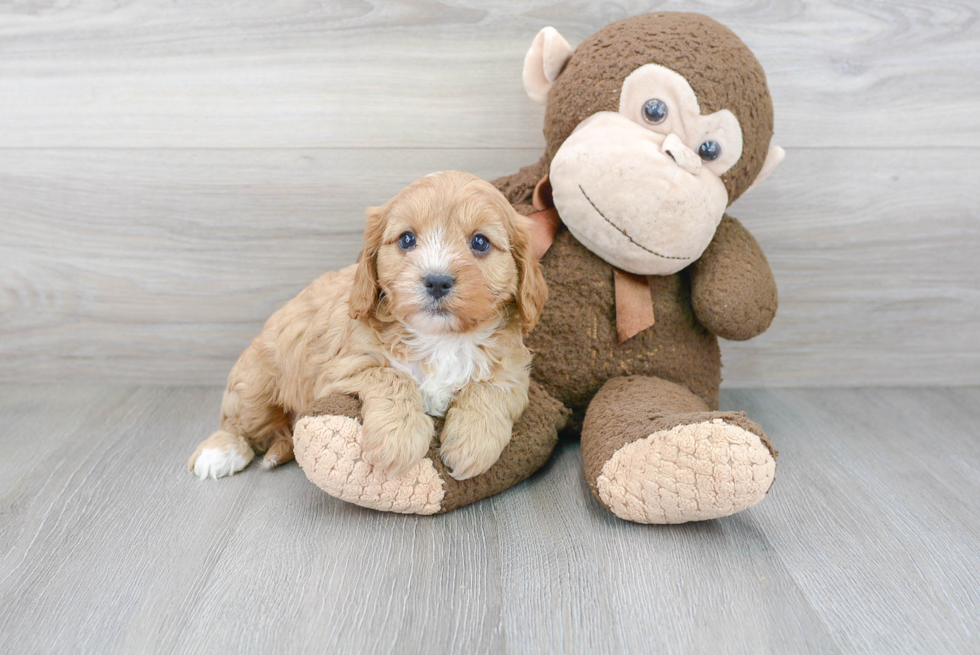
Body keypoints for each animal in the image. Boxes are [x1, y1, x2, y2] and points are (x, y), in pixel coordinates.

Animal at [188, 172, 548, 482]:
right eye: (407, 239)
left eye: (480, 242)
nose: (437, 281)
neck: (438, 338)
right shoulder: (341, 367)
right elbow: (391, 376)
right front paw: (398, 440)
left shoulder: (515, 371)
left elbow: (491, 387)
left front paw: (473, 443)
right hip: (255, 383)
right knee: (239, 423)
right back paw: (218, 453)